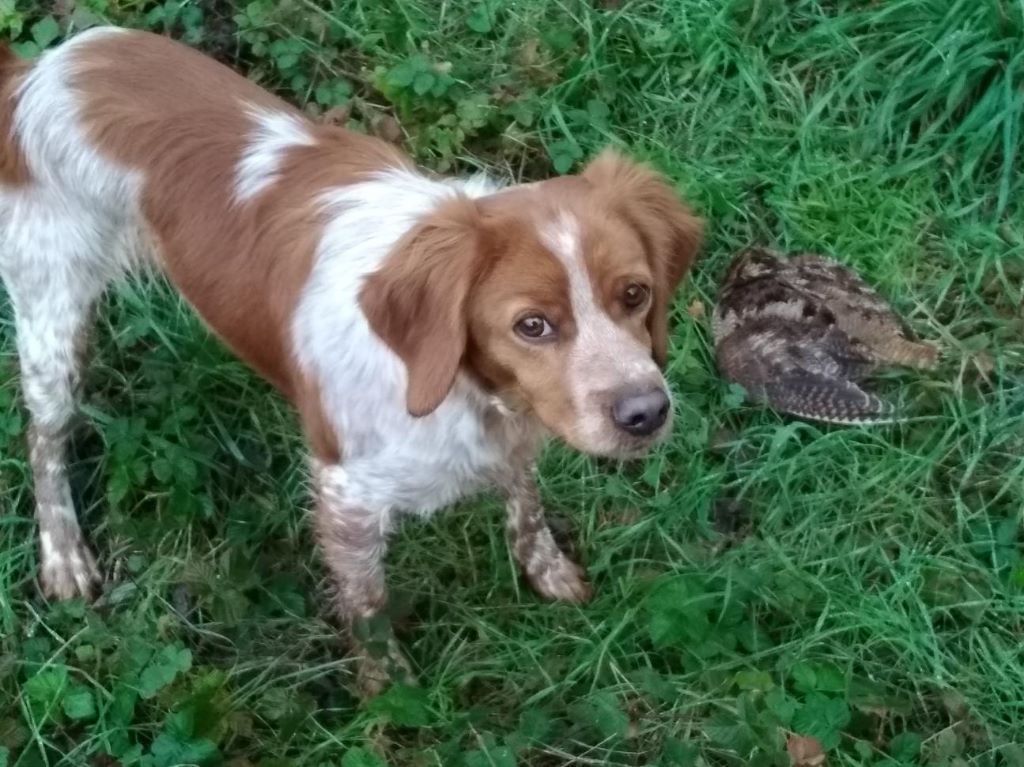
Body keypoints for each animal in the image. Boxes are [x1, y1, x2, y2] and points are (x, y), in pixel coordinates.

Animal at [0, 28, 700, 688]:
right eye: (532, 325)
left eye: (635, 294)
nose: (646, 413)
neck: (459, 387)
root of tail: (39, 71)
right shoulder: (347, 495)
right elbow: (368, 604)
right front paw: (387, 688)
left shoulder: (514, 436)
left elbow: (525, 505)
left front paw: (546, 568)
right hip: (53, 319)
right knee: (43, 437)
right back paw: (64, 555)